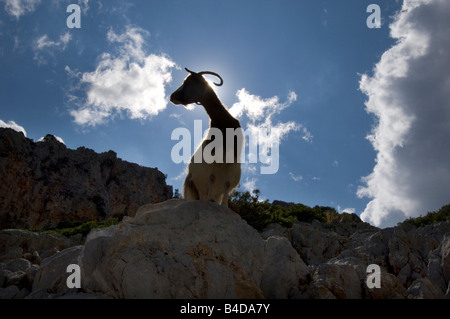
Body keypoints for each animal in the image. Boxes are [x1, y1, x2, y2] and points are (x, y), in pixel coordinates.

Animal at [171, 68, 243, 208]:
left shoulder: (232, 159)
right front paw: (211, 200)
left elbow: (227, 183)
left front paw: (225, 205)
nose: (172, 97)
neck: (224, 124)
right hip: (192, 187)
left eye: (188, 81)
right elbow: (212, 177)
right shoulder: (212, 155)